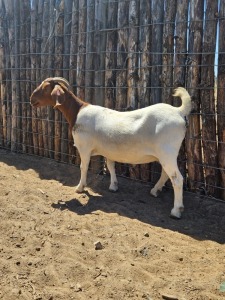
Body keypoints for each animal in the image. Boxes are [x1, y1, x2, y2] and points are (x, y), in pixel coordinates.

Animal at [30, 77, 192, 218]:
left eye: (46, 87)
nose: (31, 99)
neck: (77, 112)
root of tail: (179, 111)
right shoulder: (108, 150)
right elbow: (110, 165)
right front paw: (113, 186)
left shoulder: (84, 147)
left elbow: (83, 167)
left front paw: (80, 187)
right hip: (165, 155)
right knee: (166, 174)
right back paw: (154, 190)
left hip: (167, 152)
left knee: (177, 179)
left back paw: (176, 211)